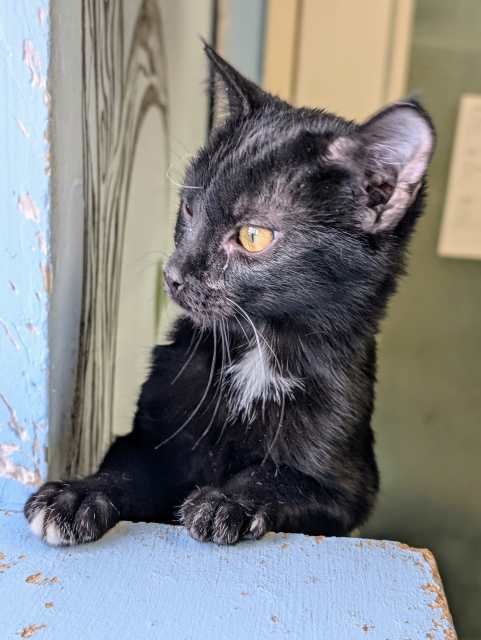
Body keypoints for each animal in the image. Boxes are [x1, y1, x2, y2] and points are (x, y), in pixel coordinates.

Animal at [24, 45, 434, 544]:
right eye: (189, 208)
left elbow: (279, 476)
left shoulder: (348, 490)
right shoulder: (147, 440)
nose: (173, 274)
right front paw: (76, 495)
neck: (257, 352)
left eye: (253, 236)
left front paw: (228, 500)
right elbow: (127, 470)